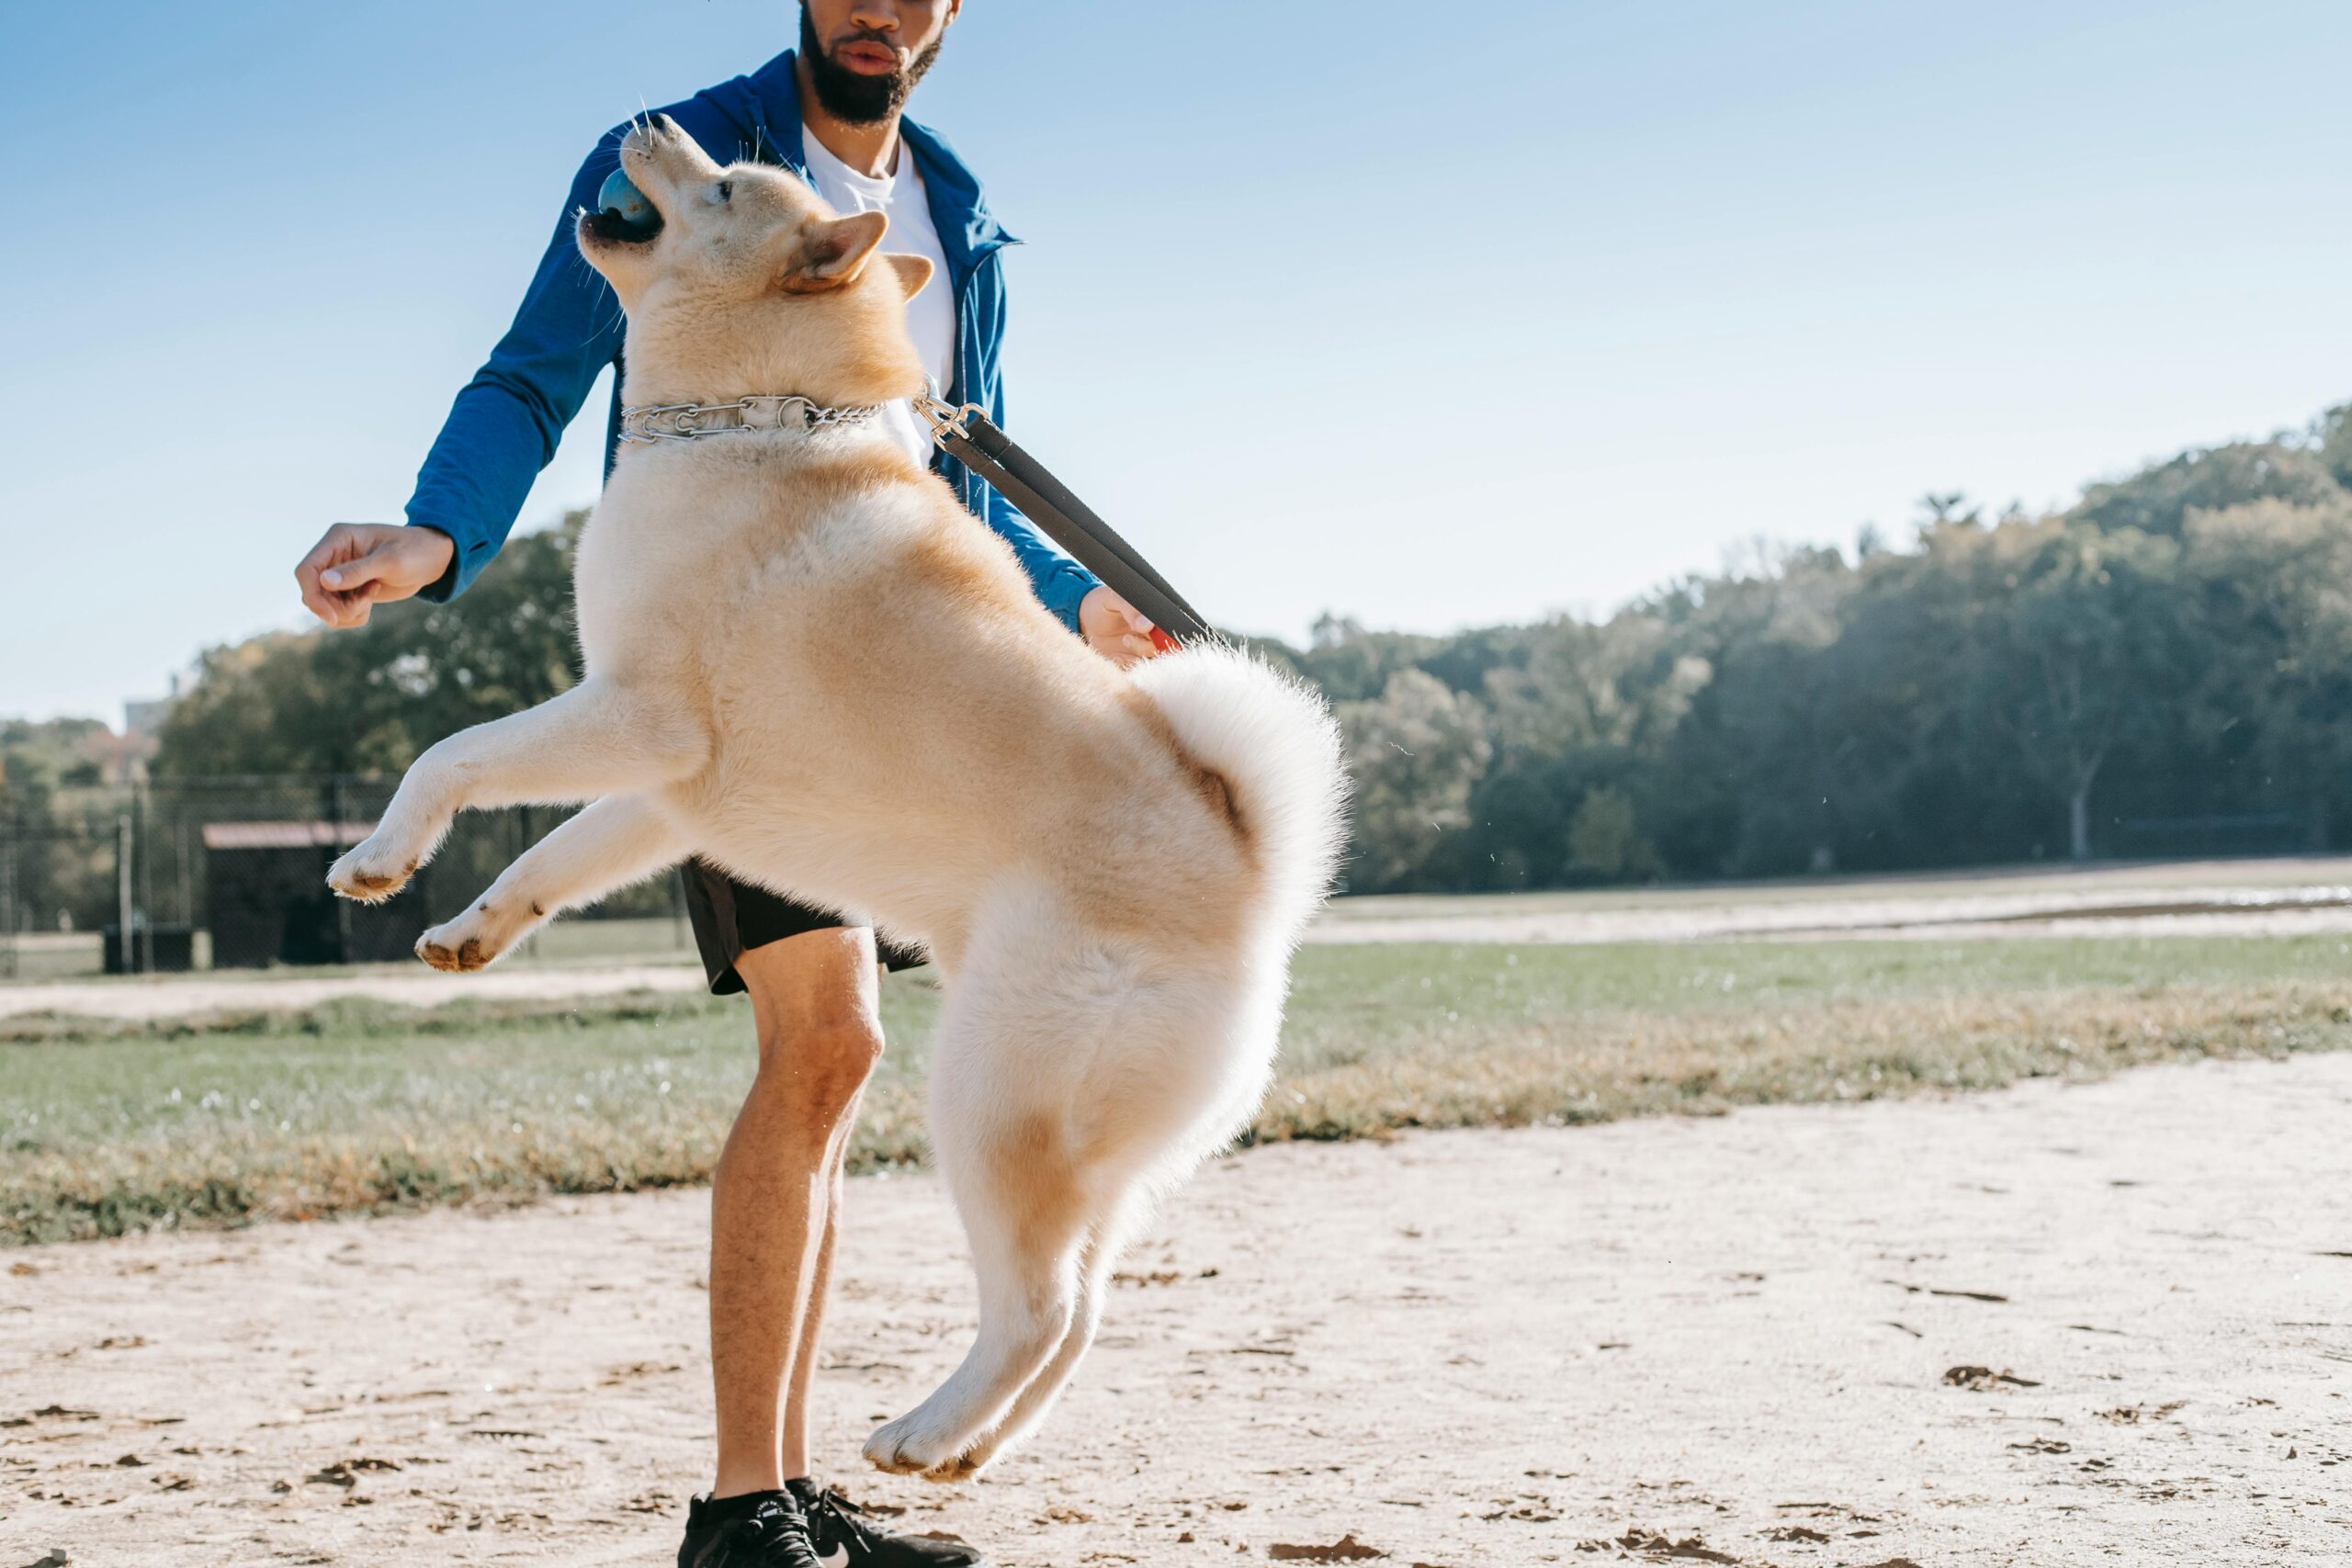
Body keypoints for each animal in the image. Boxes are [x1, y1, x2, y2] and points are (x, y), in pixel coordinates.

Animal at [338, 116, 1354, 1476]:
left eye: (722, 184)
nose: (652, 117)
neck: (747, 422)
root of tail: (1250, 873)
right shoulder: (662, 790)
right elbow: (545, 860)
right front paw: (466, 928)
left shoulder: (633, 715)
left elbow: (452, 755)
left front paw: (382, 853)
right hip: (1086, 1154)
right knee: (1083, 1311)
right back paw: (967, 1443)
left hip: (990, 1107)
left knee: (1039, 1309)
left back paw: (922, 1432)